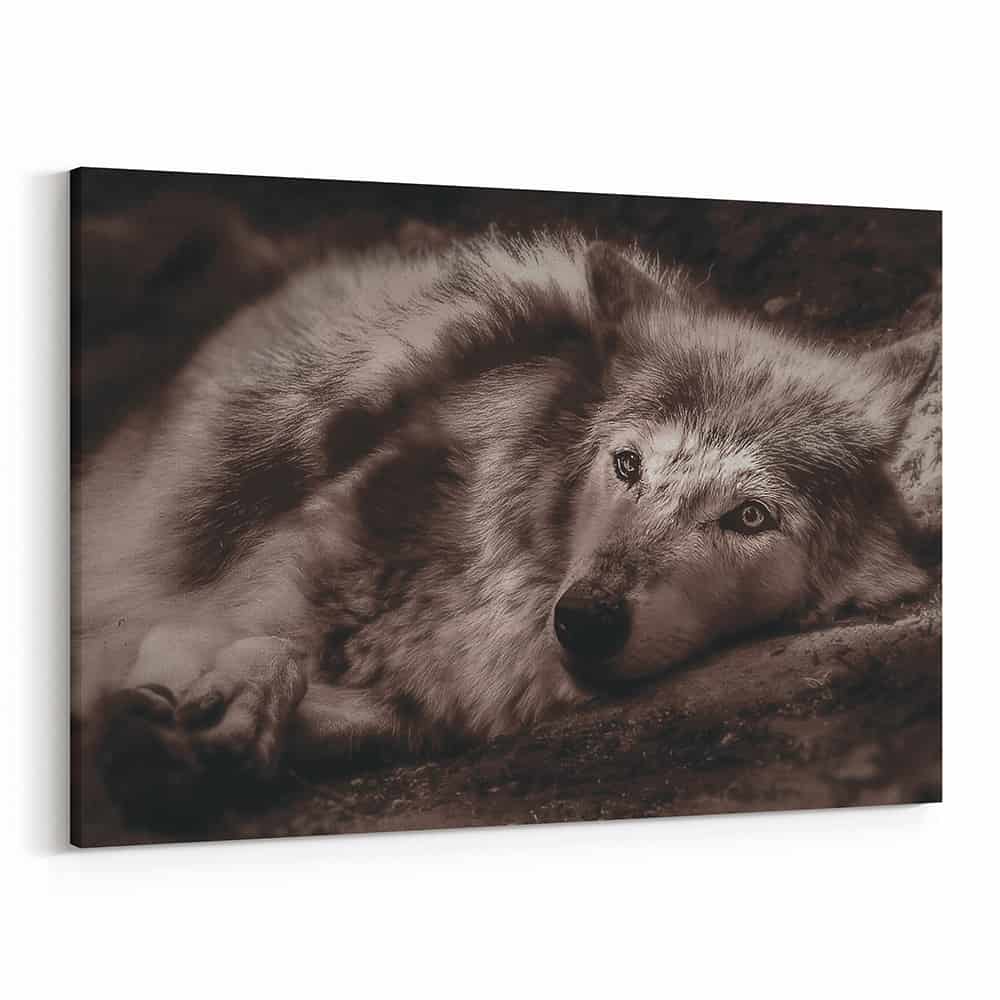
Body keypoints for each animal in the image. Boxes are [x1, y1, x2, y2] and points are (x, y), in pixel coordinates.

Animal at [74, 233, 936, 827]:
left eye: (750, 517)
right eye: (627, 465)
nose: (585, 618)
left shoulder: (432, 707)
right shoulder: (194, 595)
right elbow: (224, 640)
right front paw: (207, 705)